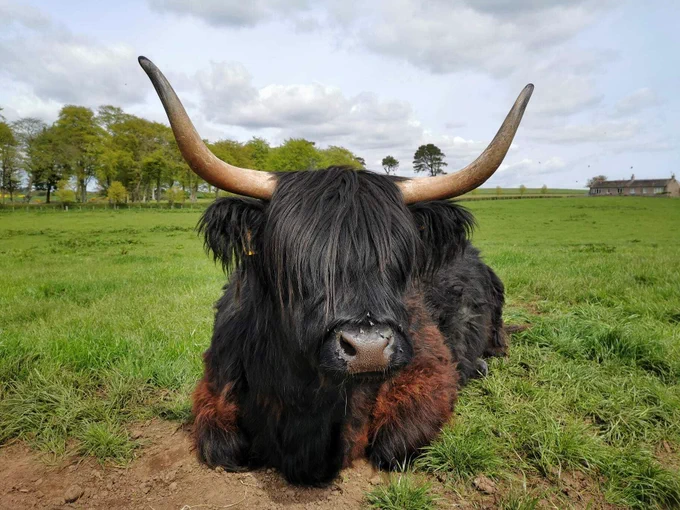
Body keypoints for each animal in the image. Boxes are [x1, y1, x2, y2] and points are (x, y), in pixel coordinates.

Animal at [138, 56, 533, 486]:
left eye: (400, 256)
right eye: (293, 257)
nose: (368, 349)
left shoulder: (430, 374)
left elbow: (394, 444)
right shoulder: (214, 386)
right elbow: (222, 446)